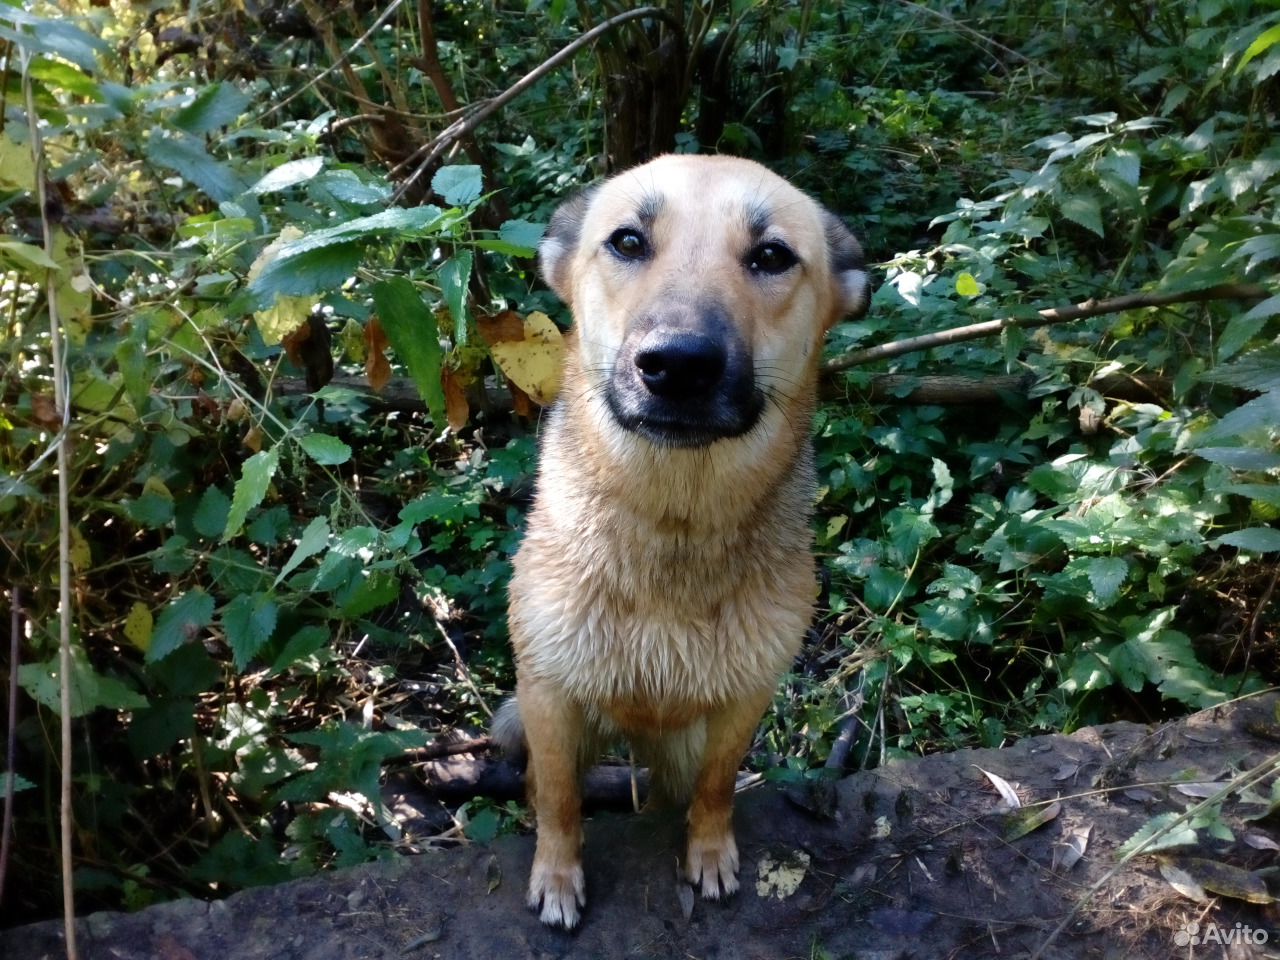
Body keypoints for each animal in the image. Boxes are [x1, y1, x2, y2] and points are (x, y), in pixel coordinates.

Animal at [496, 154, 870, 926]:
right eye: (628, 241)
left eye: (771, 256)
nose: (678, 364)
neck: (675, 526)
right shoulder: (550, 698)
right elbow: (560, 801)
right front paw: (557, 875)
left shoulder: (742, 701)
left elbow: (718, 786)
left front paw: (709, 851)